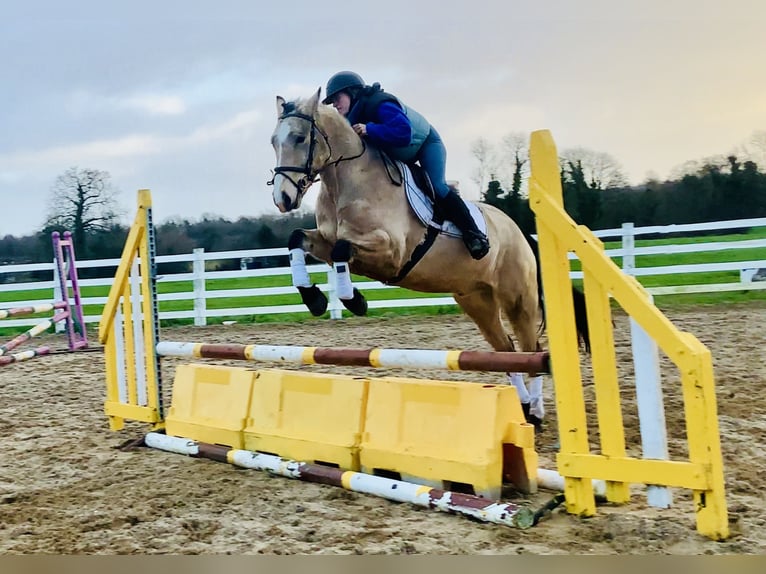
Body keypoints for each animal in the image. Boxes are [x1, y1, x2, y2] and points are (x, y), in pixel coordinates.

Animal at [267, 88, 589, 429]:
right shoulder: (327, 241)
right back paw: (524, 408)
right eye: (274, 141)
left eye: (300, 138)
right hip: (477, 301)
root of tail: (519, 231)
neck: (346, 182)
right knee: (507, 350)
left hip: (517, 298)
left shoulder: (391, 252)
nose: (282, 199)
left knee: (532, 350)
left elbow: (343, 249)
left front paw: (355, 301)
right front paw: (314, 298)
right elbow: (298, 239)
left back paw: (537, 411)